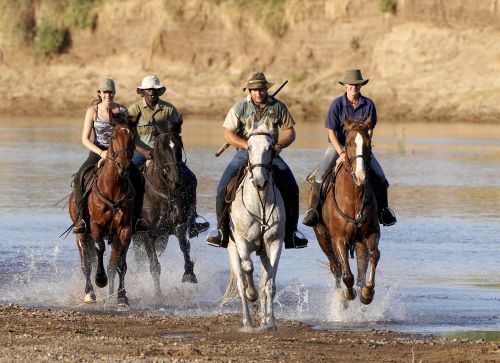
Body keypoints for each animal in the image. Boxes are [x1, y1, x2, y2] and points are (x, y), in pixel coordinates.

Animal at [68, 116, 136, 308]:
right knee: (86, 263)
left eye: (133, 137)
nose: (123, 166)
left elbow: (120, 262)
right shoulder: (96, 225)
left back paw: (111, 294)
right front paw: (100, 280)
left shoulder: (125, 229)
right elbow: (99, 248)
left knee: (112, 263)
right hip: (82, 234)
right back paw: (90, 293)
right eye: (113, 136)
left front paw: (122, 296)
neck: (112, 188)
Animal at [134, 121, 200, 300]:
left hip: (162, 239)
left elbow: (185, 247)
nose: (175, 179)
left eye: (179, 145)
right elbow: (154, 265)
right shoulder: (146, 233)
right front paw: (158, 295)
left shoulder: (179, 225)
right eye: (161, 148)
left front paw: (189, 274)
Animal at [223, 119, 286, 332]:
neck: (259, 203)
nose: (260, 181)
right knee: (241, 283)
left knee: (264, 282)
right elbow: (248, 269)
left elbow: (270, 285)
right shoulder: (241, 241)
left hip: (264, 251)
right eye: (249, 147)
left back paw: (265, 320)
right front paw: (252, 295)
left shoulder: (274, 243)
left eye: (270, 147)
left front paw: (271, 323)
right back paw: (248, 322)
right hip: (232, 249)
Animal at [310, 116, 380, 308]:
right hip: (322, 235)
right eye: (348, 143)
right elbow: (346, 275)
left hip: (359, 243)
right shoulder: (339, 238)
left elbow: (374, 256)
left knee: (361, 270)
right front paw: (347, 295)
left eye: (369, 142)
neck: (353, 198)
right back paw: (339, 299)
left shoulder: (370, 234)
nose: (361, 175)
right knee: (336, 268)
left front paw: (367, 293)